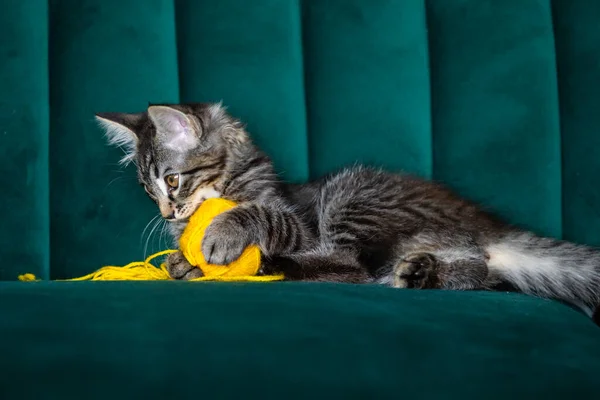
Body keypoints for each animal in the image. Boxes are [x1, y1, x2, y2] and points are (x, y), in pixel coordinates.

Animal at [98, 103, 600, 318]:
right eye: (148, 190)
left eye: (172, 180)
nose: (168, 214)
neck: (233, 182)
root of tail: (485, 223)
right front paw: (180, 263)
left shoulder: (297, 220)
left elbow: (259, 215)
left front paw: (219, 236)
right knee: (476, 270)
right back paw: (417, 273)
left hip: (351, 197)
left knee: (351, 268)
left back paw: (273, 266)